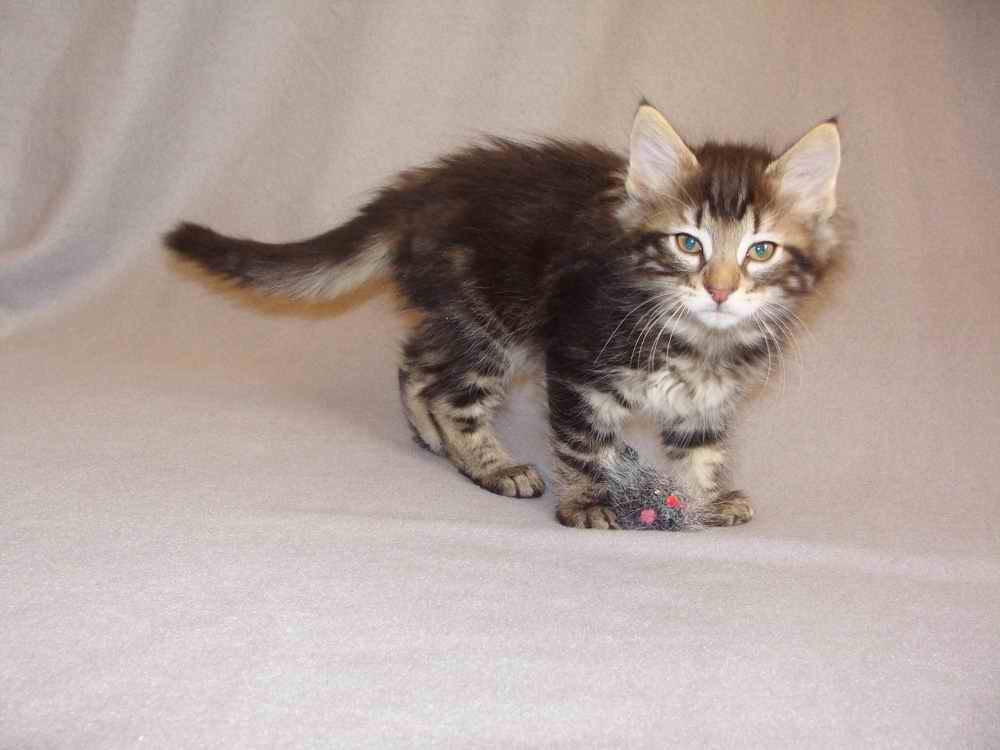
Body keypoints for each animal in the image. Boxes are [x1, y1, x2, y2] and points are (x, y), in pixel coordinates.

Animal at [165, 103, 841, 529]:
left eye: (760, 251)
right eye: (687, 243)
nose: (720, 291)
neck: (698, 339)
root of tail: (421, 190)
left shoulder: (708, 398)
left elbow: (700, 450)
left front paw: (705, 498)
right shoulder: (576, 361)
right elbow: (584, 443)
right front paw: (587, 502)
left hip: (467, 316)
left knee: (417, 361)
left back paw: (433, 440)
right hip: (493, 320)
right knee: (448, 391)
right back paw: (491, 465)